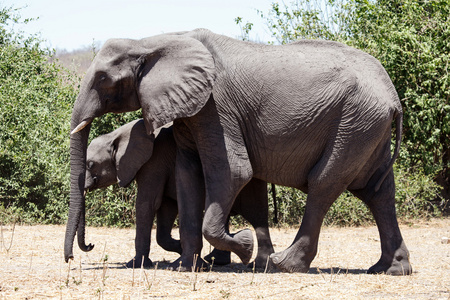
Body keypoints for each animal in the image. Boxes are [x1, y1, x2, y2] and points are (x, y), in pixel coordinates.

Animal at [84, 119, 274, 270]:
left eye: (90, 164)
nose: (91, 245)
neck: (118, 134)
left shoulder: (154, 161)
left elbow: (148, 203)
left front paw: (136, 264)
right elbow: (166, 208)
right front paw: (182, 250)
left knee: (255, 213)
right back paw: (216, 259)